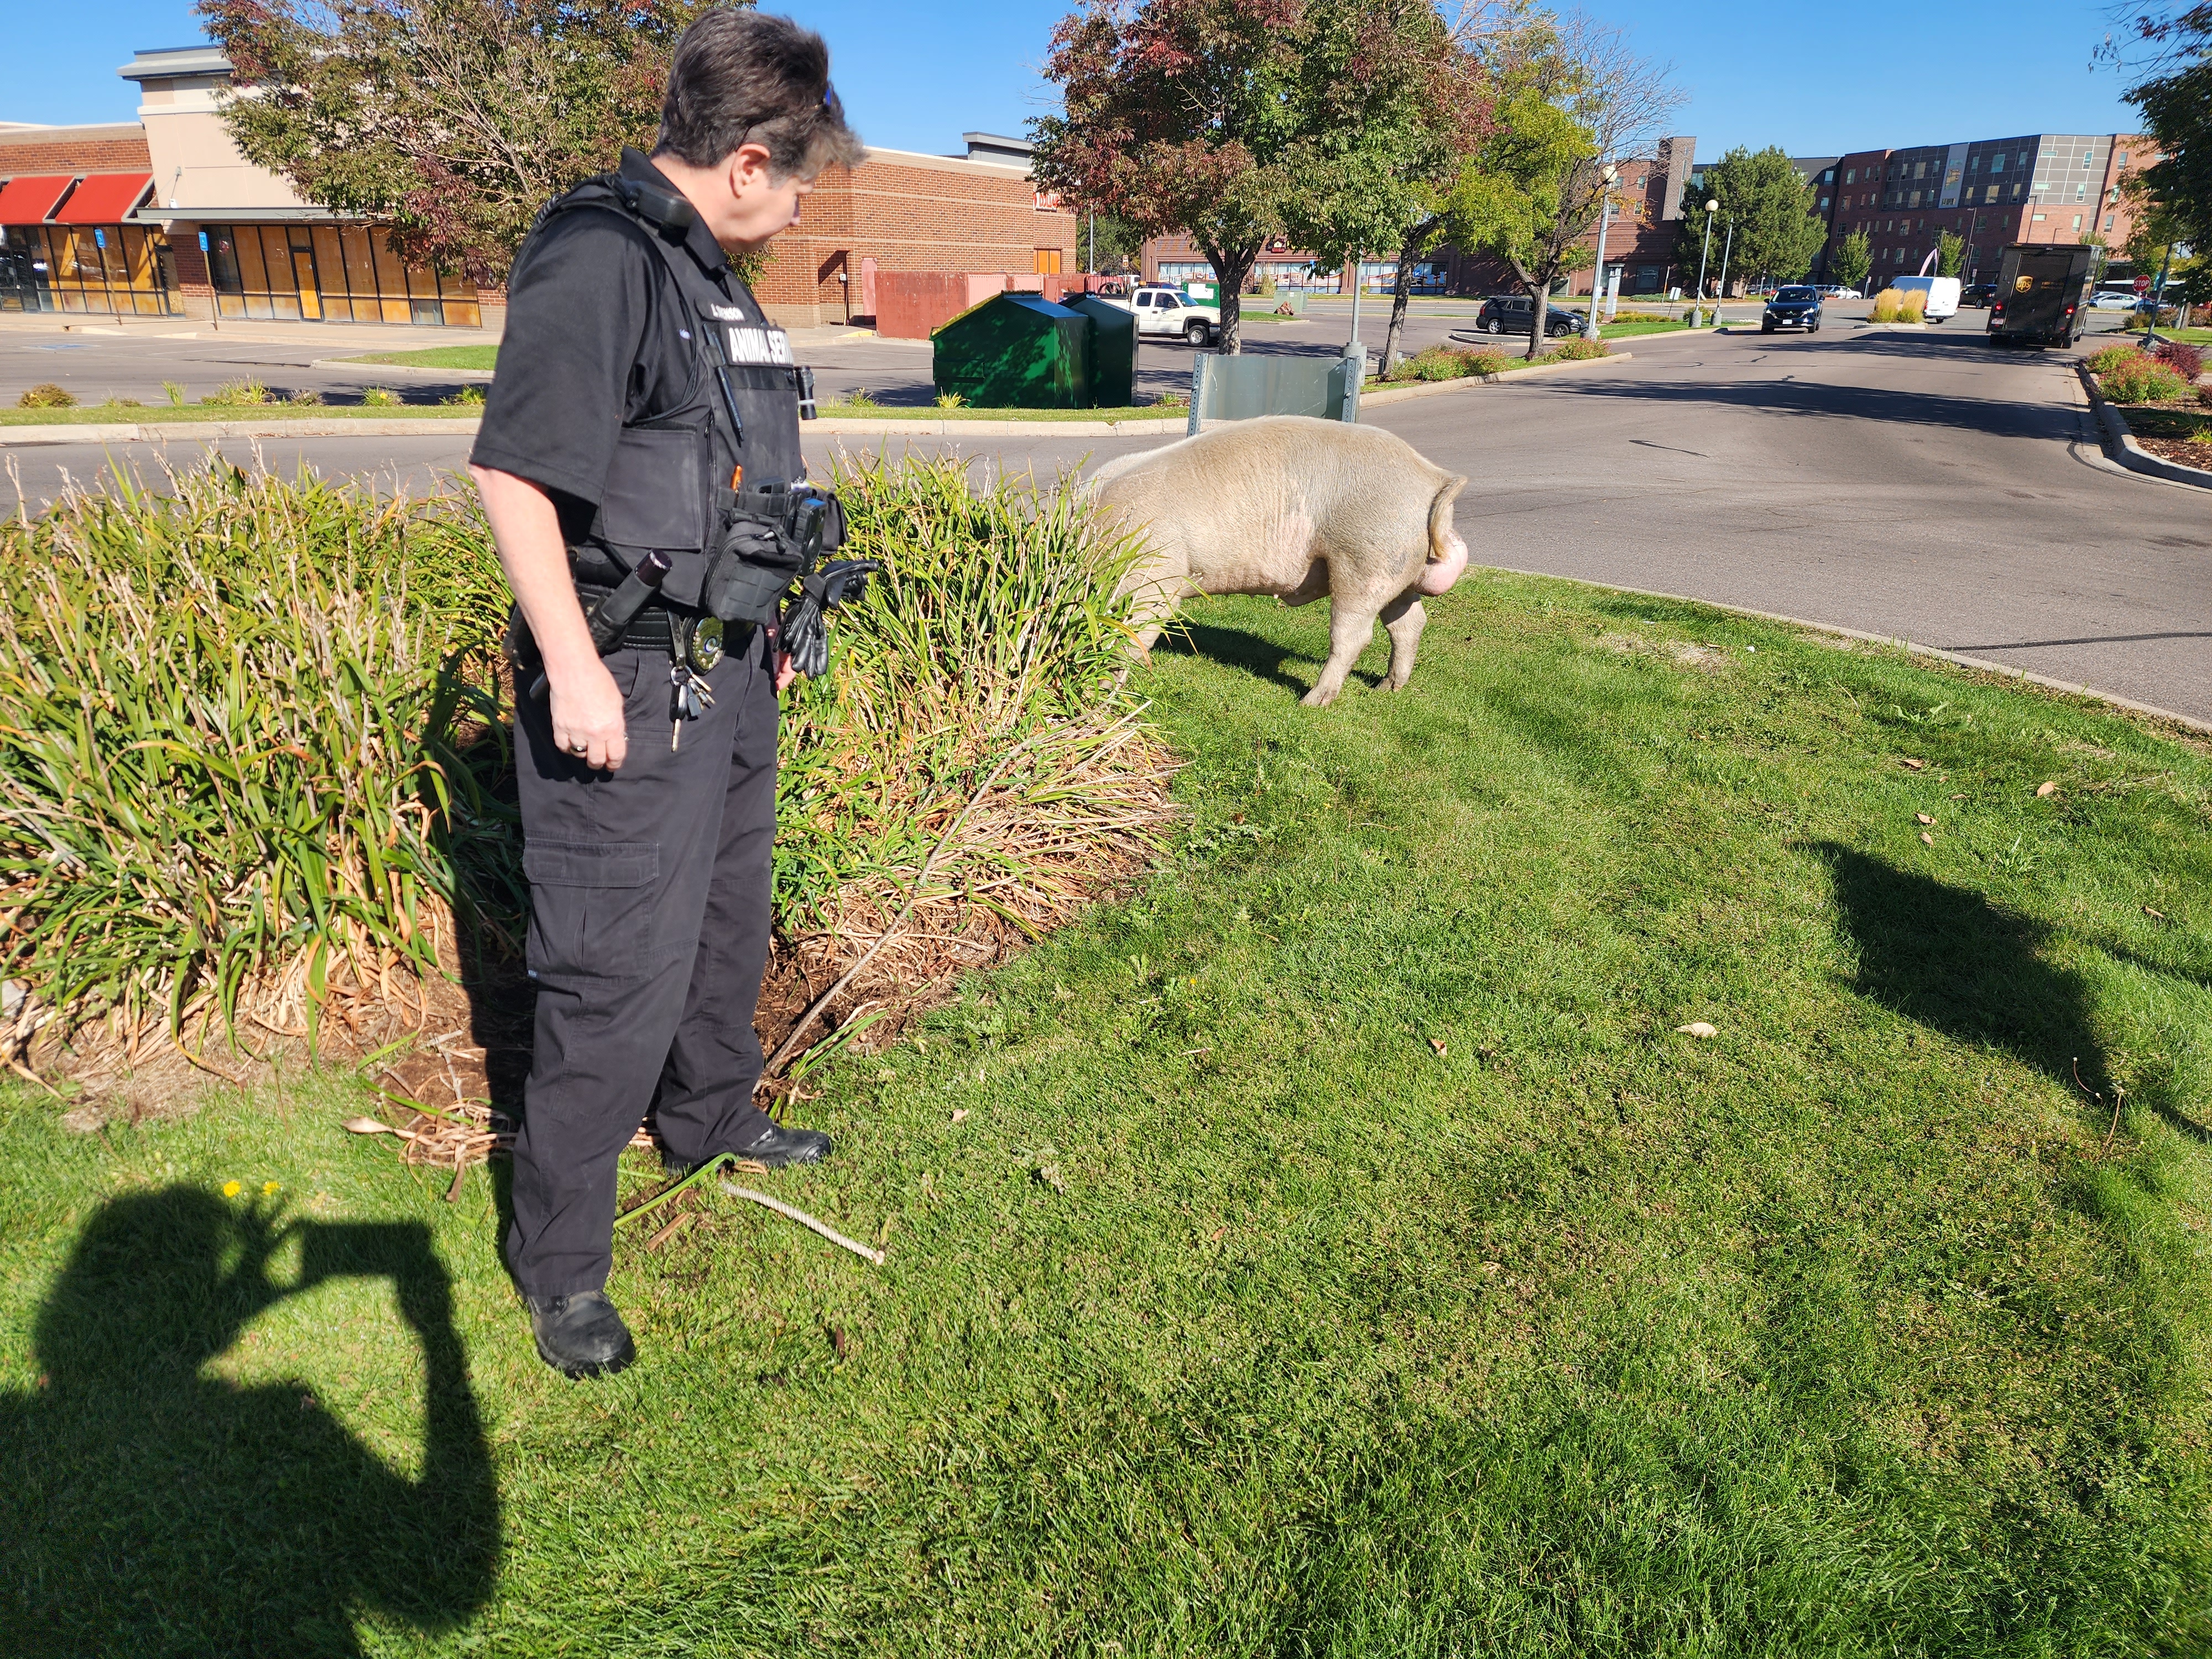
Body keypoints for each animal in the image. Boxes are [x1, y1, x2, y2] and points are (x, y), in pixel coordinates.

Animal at [1090, 415, 1470, 707]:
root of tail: (1432, 476)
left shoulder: (1153, 575)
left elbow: (1132, 633)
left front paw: (1104, 692)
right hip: (1397, 568)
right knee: (1409, 623)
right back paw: (1386, 688)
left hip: (1364, 559)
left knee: (1354, 635)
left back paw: (1312, 702)